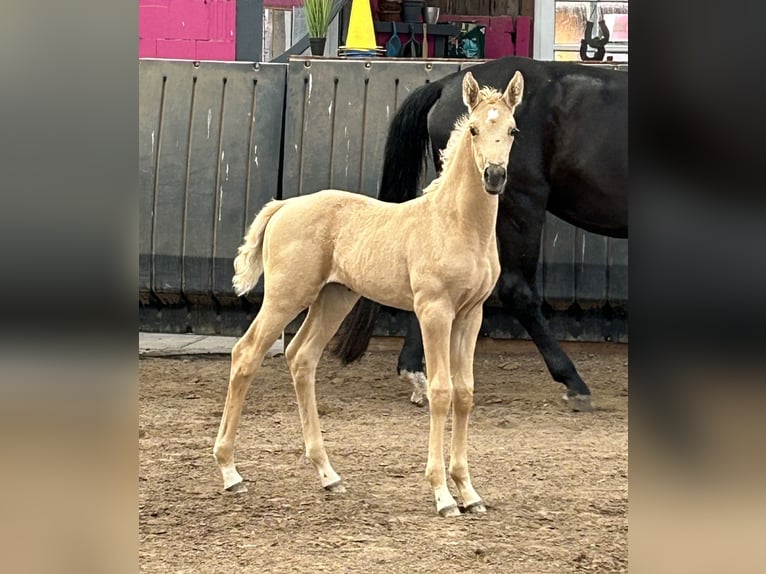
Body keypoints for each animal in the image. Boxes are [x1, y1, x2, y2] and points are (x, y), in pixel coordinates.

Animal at [216, 70, 528, 520]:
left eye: (512, 129)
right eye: (473, 128)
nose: (494, 176)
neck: (456, 223)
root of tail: (284, 205)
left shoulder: (471, 315)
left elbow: (465, 393)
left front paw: (469, 492)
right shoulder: (433, 311)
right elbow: (440, 391)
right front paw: (443, 496)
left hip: (334, 298)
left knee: (301, 357)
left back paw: (328, 474)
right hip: (285, 296)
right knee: (246, 353)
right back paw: (230, 472)